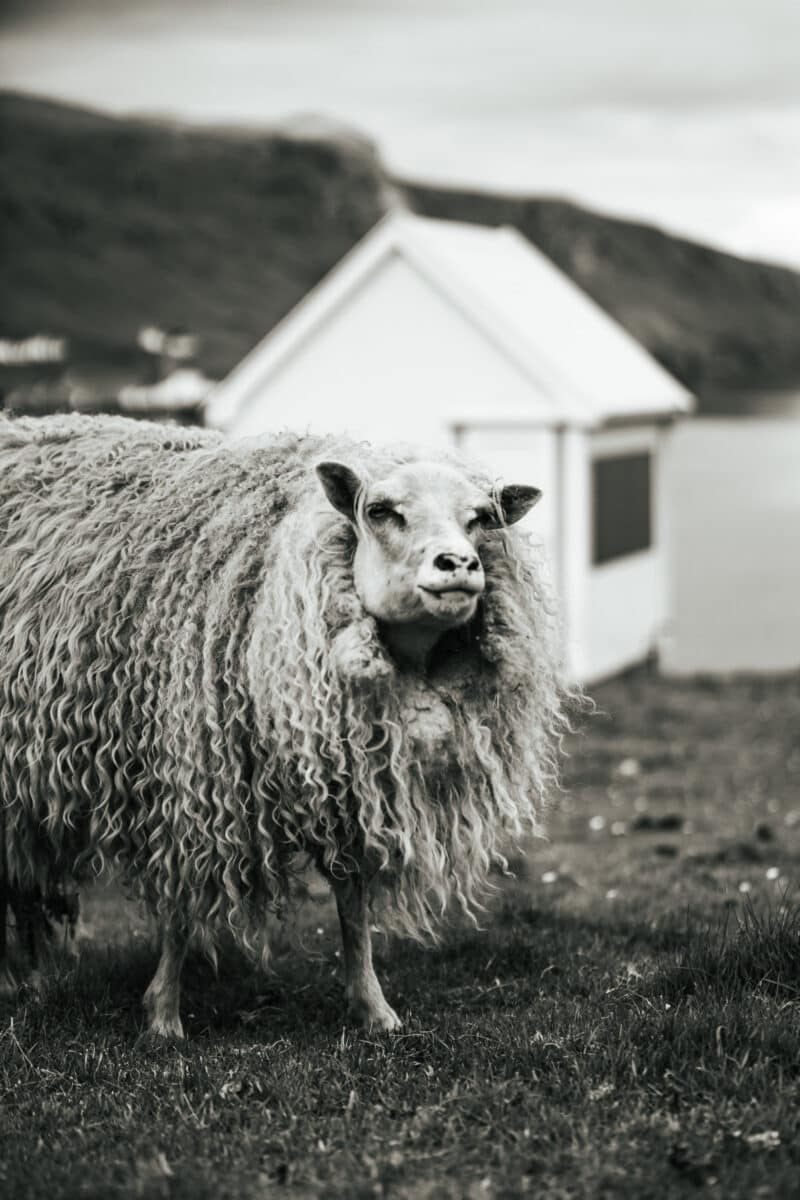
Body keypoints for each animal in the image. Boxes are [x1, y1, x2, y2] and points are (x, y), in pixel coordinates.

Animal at [3, 410, 573, 1032]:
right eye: (381, 511)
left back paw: (31, 981)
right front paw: (163, 1017)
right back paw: (26, 980)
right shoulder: (195, 778)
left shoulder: (347, 780)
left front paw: (374, 1009)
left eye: (480, 519)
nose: (460, 565)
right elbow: (182, 905)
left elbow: (352, 904)